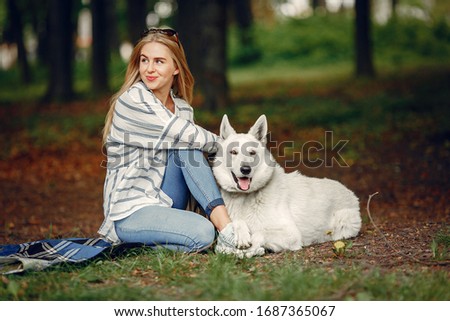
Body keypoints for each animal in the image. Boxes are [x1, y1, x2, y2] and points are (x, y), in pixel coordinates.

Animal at [212, 114, 362, 256]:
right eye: (233, 152)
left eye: (252, 153)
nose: (245, 169)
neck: (246, 196)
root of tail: (350, 192)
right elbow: (237, 222)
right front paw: (241, 235)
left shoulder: (291, 234)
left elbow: (259, 233)